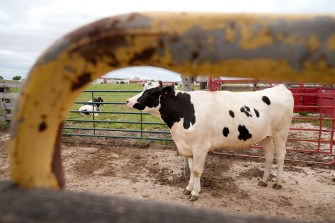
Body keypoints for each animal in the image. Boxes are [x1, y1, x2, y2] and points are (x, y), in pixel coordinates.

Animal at [127, 81, 296, 200]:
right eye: (143, 87)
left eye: (149, 92)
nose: (128, 100)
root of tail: (280, 87)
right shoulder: (189, 146)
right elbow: (191, 168)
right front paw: (188, 188)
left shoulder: (200, 146)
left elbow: (196, 170)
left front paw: (195, 193)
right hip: (266, 136)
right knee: (269, 156)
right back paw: (263, 181)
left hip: (280, 133)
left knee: (280, 156)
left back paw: (278, 183)